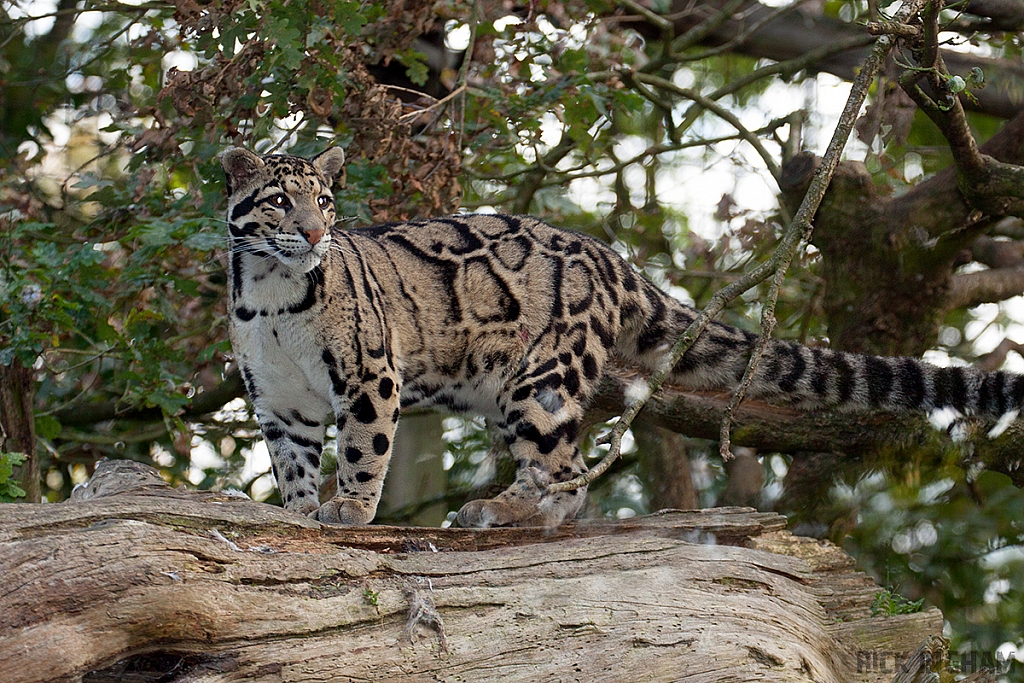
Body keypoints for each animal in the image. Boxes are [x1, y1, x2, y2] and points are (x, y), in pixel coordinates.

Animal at [222, 147, 1024, 528]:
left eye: (325, 200)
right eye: (280, 200)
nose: (315, 233)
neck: (271, 292)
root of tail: (611, 258)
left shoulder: (368, 374)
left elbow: (363, 450)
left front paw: (349, 511)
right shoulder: (278, 400)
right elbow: (292, 463)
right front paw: (297, 510)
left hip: (539, 380)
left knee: (568, 474)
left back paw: (500, 510)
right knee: (560, 470)